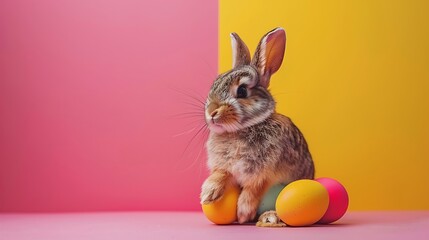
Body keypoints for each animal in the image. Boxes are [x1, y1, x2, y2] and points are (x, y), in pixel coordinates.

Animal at [199, 28, 312, 227]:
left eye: (242, 91)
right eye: (215, 84)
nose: (211, 112)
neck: (238, 131)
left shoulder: (266, 174)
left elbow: (255, 188)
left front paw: (243, 212)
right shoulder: (225, 167)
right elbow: (221, 174)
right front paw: (208, 193)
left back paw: (269, 217)